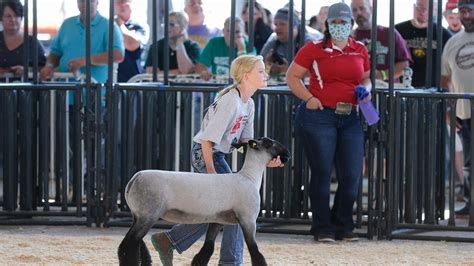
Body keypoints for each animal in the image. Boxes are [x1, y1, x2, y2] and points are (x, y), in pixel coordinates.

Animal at [116, 137, 290, 266]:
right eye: (268, 142)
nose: (287, 153)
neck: (249, 177)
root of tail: (134, 178)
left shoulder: (218, 220)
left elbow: (207, 249)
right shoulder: (248, 219)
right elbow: (255, 251)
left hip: (139, 215)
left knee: (136, 243)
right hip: (148, 214)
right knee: (128, 245)